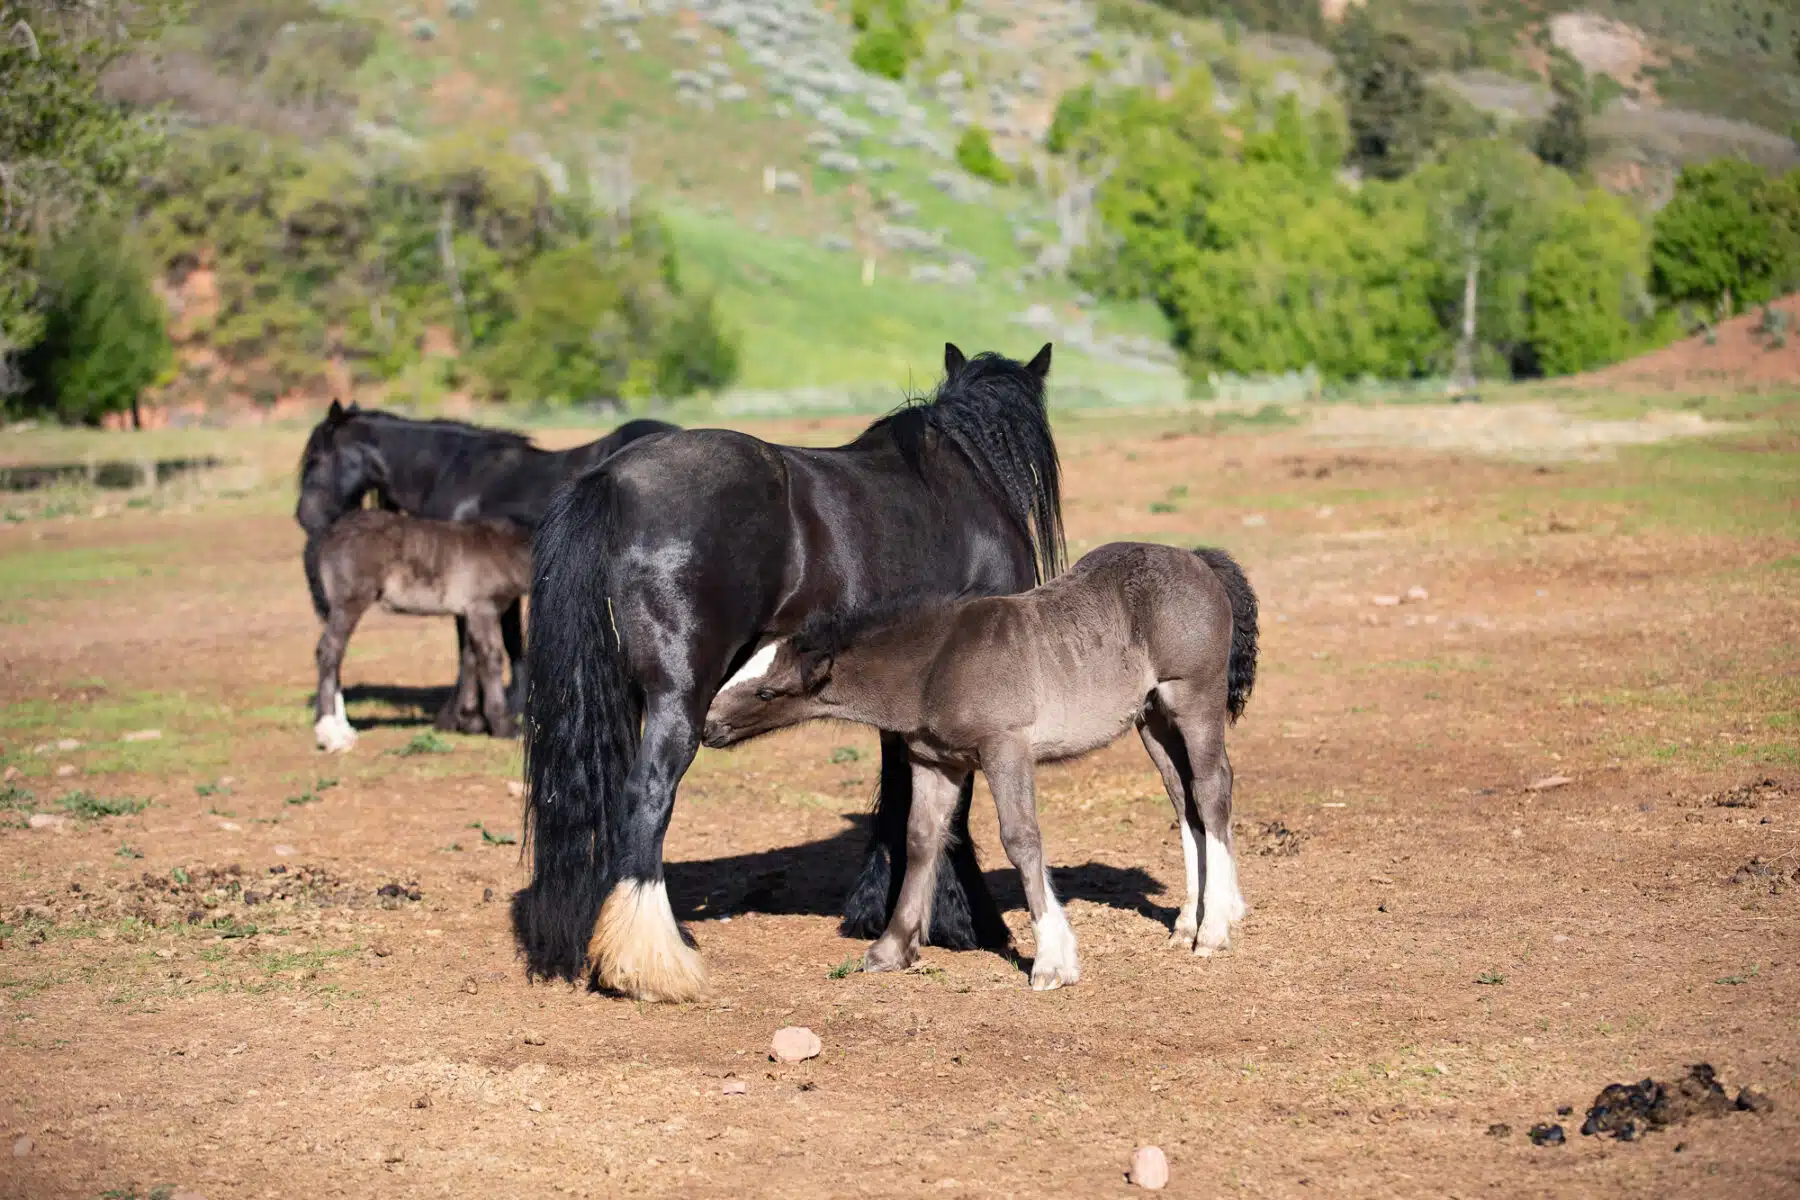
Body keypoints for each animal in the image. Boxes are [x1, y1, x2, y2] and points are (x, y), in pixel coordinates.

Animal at [305, 510, 533, 750]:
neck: (505, 548)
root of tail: (330, 533)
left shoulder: (471, 613)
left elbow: (470, 658)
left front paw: (468, 722)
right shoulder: (483, 608)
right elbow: (491, 660)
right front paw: (505, 727)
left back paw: (343, 729)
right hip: (350, 601)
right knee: (329, 651)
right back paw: (331, 733)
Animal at [519, 343, 1063, 1001]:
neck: (964, 481)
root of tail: (612, 481)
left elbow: (901, 797)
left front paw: (878, 912)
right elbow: (950, 810)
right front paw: (968, 921)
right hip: (679, 699)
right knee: (647, 796)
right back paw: (652, 963)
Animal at [702, 542, 1260, 990]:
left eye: (767, 691)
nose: (707, 726)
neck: (936, 663)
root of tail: (1199, 561)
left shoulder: (1005, 747)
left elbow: (1020, 839)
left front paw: (1053, 960)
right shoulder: (934, 762)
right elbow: (920, 840)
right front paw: (893, 948)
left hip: (1193, 699)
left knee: (1211, 790)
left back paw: (1214, 929)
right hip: (1151, 718)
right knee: (1184, 798)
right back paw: (1192, 920)